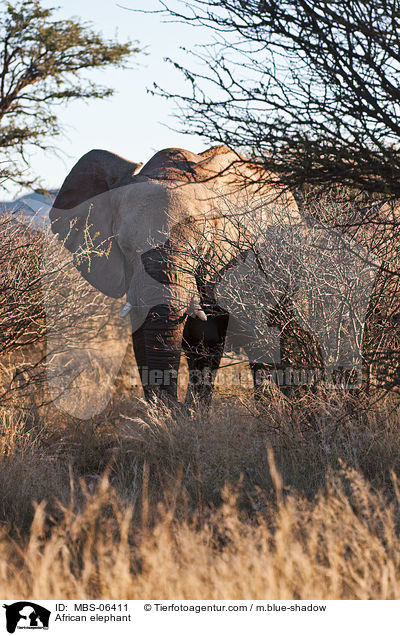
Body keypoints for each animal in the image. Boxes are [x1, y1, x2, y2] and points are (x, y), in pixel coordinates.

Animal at [49, 145, 300, 404]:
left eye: (200, 249)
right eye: (125, 247)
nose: (175, 403)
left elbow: (206, 337)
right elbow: (143, 336)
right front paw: (169, 411)